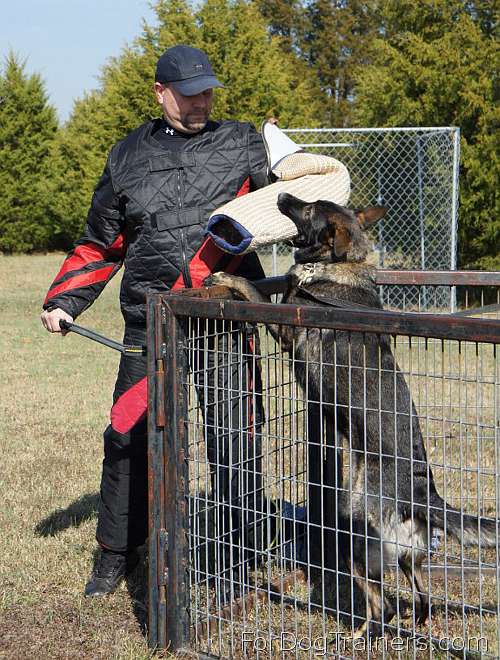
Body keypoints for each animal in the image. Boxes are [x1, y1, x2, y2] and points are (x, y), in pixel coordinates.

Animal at [209, 193, 498, 636]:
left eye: (310, 208)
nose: (282, 194)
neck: (336, 265)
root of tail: (421, 495)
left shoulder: (287, 328)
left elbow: (255, 293)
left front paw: (226, 278)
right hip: (407, 557)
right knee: (421, 598)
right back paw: (411, 628)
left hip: (354, 534)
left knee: (384, 607)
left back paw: (358, 636)